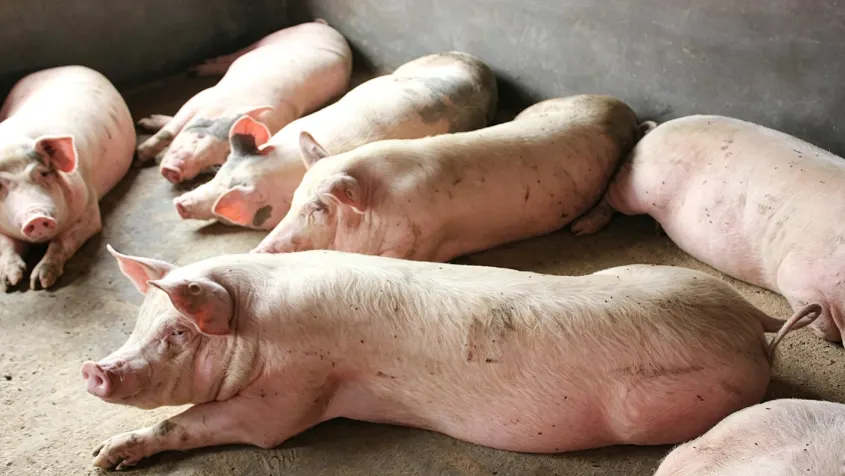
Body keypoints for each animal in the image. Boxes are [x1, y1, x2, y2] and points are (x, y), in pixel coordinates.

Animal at [0, 66, 135, 290]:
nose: (36, 218)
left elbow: (61, 242)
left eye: (43, 173)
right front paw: (11, 282)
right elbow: (5, 246)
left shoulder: (89, 209)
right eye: (1, 185)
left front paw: (41, 282)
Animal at [83, 248, 819, 470]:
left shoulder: (290, 394)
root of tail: (747, 322)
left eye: (179, 334)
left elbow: (207, 424)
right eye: (141, 322)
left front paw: (103, 458)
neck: (259, 325)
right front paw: (100, 456)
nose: (95, 370)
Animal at [135, 20, 352, 184]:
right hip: (274, 36)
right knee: (238, 53)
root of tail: (324, 25)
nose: (174, 172)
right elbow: (169, 131)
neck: (226, 107)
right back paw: (196, 69)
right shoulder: (200, 98)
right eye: (199, 138)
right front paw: (139, 155)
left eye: (216, 163)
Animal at [251, 94, 645, 258]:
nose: (260, 249)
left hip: (621, 162)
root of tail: (623, 109)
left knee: (610, 203)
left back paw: (580, 229)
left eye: (319, 208)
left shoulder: (418, 244)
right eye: (294, 200)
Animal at [570, 115, 845, 343]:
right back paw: (579, 229)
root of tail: (656, 130)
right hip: (634, 188)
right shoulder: (797, 278)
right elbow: (823, 321)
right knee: (610, 197)